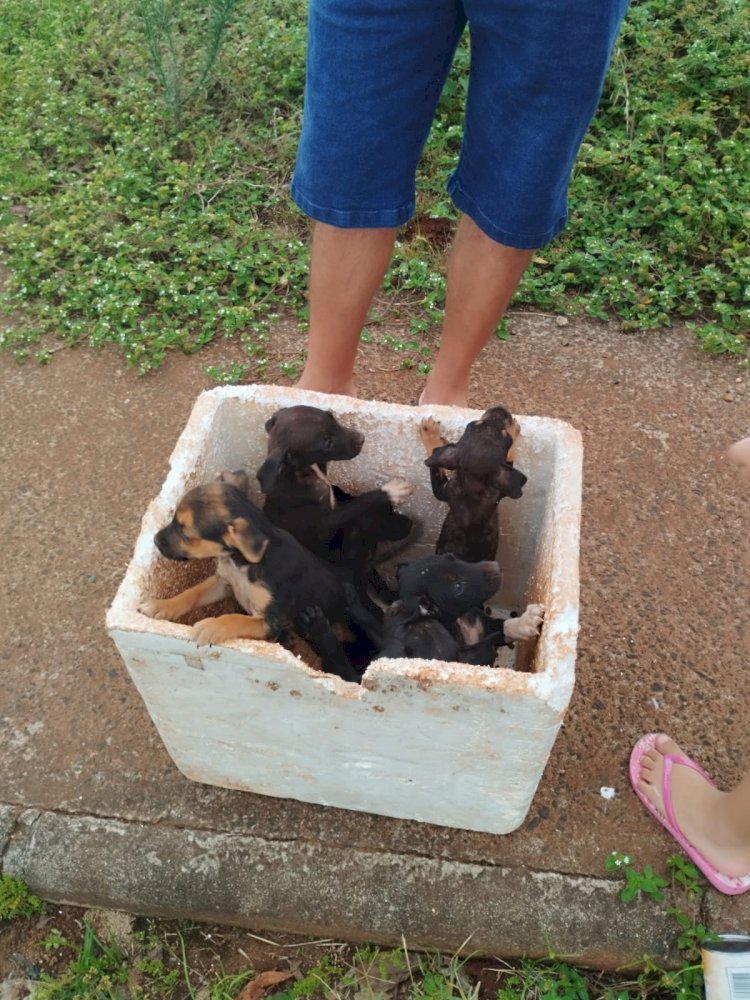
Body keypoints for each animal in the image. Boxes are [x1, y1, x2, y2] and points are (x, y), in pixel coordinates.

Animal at [138, 474, 378, 680]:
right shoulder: (224, 582)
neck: (243, 564)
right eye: (173, 519)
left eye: (186, 534)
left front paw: (212, 626)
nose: (155, 540)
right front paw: (162, 605)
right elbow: (192, 593)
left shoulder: (270, 620)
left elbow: (235, 619)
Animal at [418, 404, 528, 564]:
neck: (473, 488)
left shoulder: (443, 491)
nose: (500, 408)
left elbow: (434, 460)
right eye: (476, 423)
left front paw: (430, 433)